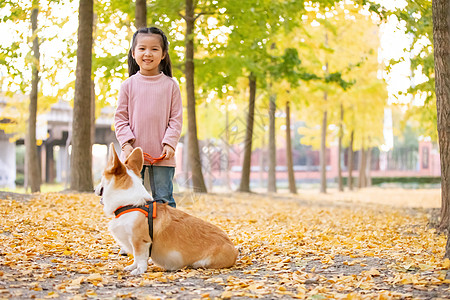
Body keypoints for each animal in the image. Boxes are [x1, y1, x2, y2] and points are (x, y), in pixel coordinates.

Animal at [95, 144, 239, 276]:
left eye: (101, 177)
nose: (94, 189)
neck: (130, 204)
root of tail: (234, 250)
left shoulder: (140, 241)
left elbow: (140, 258)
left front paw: (139, 271)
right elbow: (136, 258)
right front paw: (132, 267)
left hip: (202, 262)